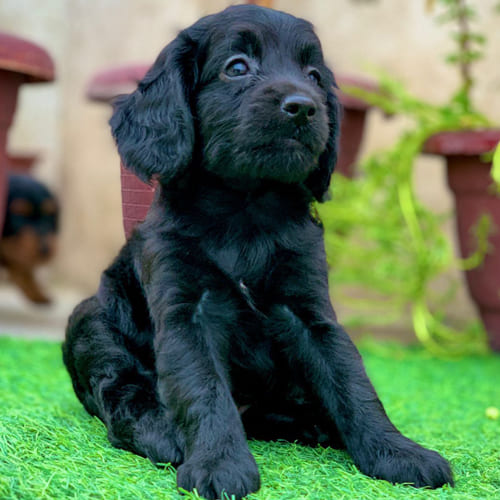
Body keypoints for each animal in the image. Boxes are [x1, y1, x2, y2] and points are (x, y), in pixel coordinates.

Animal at [62, 4, 454, 500]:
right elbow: (203, 387)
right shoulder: (186, 309)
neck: (245, 209)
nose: (303, 106)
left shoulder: (310, 312)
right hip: (92, 320)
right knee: (122, 395)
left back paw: (313, 424)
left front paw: (397, 452)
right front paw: (219, 466)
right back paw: (164, 432)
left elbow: (352, 382)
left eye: (313, 75)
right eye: (237, 68)